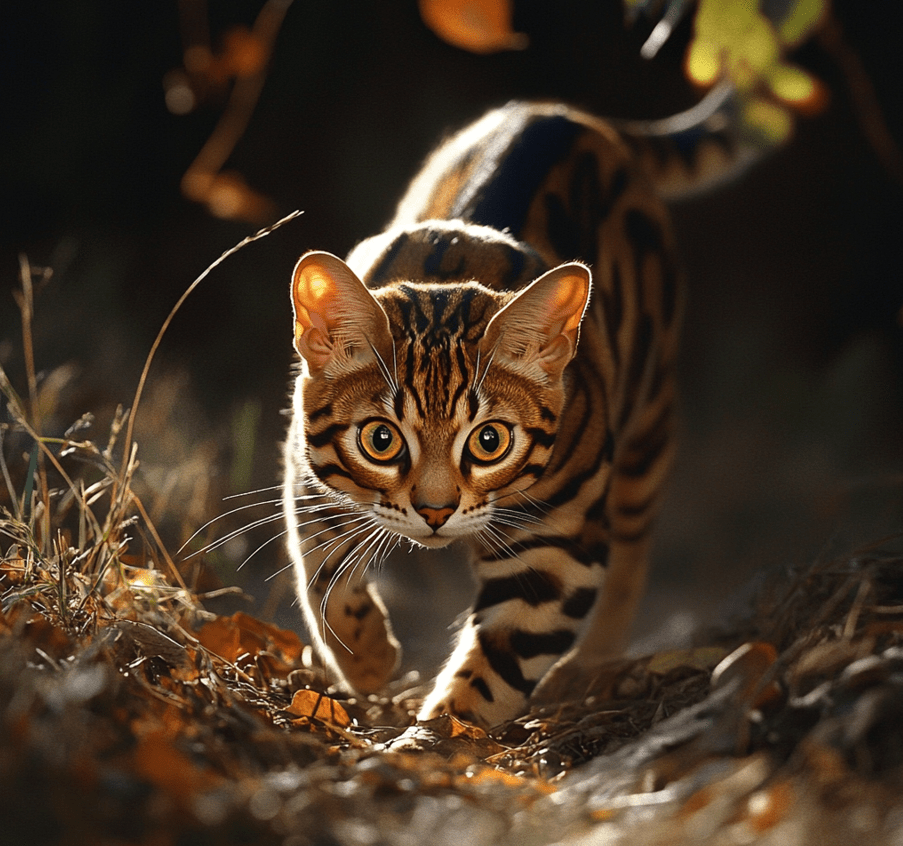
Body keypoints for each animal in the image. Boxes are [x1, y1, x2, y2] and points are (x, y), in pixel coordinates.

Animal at [284, 89, 764, 732]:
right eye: (380, 440)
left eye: (490, 442)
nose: (435, 512)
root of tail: (563, 112)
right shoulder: (308, 481)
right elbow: (324, 582)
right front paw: (367, 662)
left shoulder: (555, 550)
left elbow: (493, 672)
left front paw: (438, 735)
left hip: (646, 428)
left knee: (631, 554)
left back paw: (586, 670)